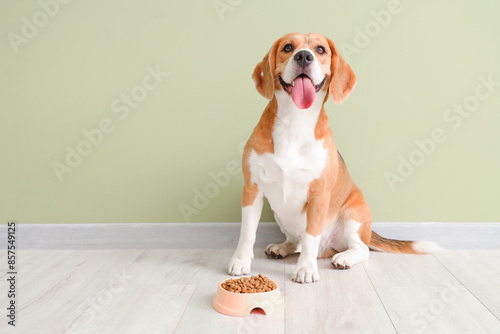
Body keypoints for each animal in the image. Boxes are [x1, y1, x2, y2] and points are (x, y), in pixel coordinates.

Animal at [229, 32, 440, 282]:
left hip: (353, 217)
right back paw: (282, 247)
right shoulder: (252, 189)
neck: (294, 122)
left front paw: (306, 269)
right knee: (295, 241)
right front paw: (240, 262)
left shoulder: (318, 195)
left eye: (320, 49)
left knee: (360, 249)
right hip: (282, 217)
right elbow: (247, 232)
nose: (303, 56)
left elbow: (311, 236)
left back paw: (344, 258)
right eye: (288, 47)